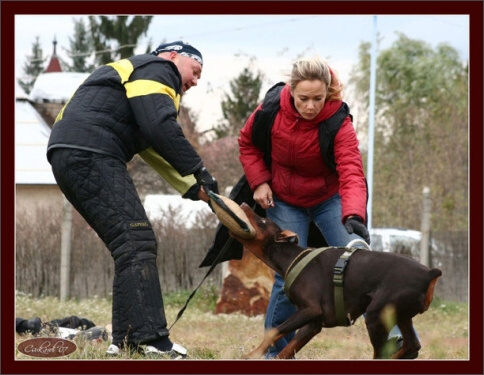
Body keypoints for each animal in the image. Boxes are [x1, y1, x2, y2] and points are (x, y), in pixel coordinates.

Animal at [219, 201, 442, 360]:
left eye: (264, 222)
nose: (245, 204)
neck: (292, 258)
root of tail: (429, 274)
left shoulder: (311, 309)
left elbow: (274, 331)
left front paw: (251, 354)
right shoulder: (312, 324)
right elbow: (285, 351)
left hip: (376, 315)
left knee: (382, 354)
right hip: (401, 315)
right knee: (412, 345)